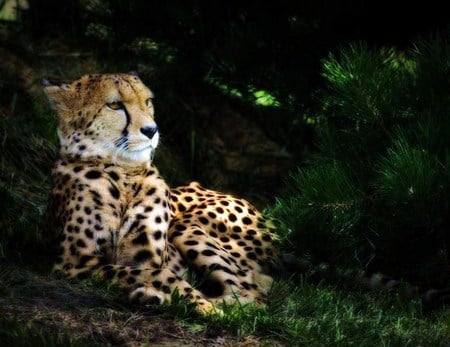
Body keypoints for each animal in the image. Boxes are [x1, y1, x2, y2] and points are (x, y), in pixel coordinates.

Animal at [44, 72, 278, 316]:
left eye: (147, 101)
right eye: (115, 105)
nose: (151, 130)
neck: (125, 173)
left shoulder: (145, 260)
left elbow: (158, 273)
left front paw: (200, 305)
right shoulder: (73, 264)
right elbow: (149, 273)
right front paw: (196, 302)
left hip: (186, 227)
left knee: (250, 296)